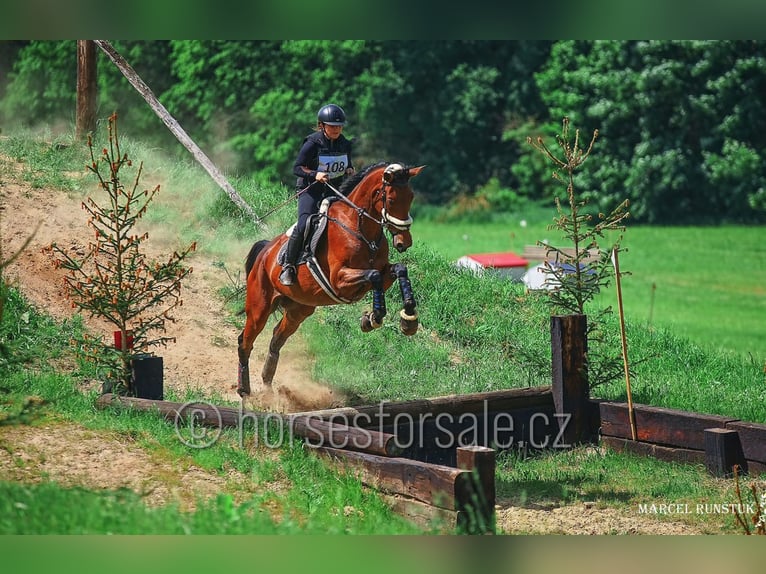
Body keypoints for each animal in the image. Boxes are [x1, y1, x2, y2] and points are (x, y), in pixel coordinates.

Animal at [237, 160, 426, 398]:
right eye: (391, 199)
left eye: (410, 197)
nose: (404, 242)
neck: (360, 228)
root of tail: (265, 252)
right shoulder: (340, 280)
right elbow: (373, 276)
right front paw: (374, 317)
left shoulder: (382, 274)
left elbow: (400, 269)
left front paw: (408, 320)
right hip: (259, 308)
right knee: (245, 341)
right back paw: (244, 389)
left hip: (299, 310)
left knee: (276, 339)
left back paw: (268, 384)